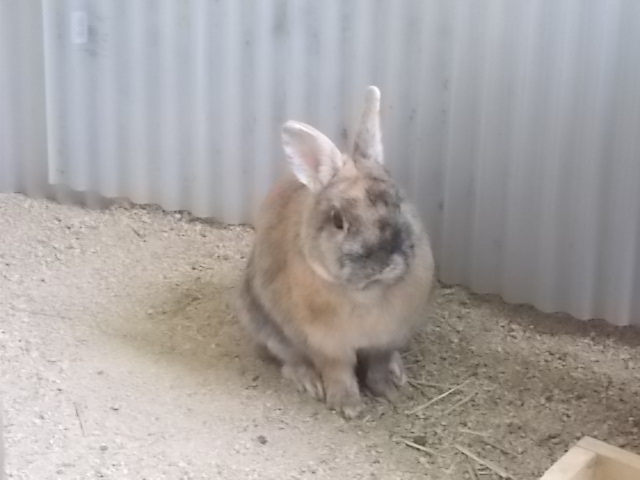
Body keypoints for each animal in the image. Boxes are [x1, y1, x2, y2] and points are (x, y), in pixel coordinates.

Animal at [238, 87, 438, 420]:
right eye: (338, 220)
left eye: (398, 202)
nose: (385, 262)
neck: (369, 293)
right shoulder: (327, 344)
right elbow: (338, 371)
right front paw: (348, 406)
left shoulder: (387, 337)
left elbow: (379, 364)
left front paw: (389, 390)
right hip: (261, 322)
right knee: (288, 359)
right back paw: (307, 380)